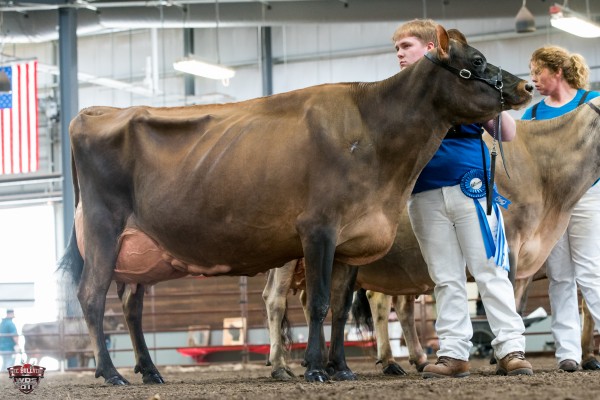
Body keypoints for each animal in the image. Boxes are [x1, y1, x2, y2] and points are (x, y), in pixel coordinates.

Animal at [57, 25, 531, 385]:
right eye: (478, 61)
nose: (526, 85)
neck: (375, 133)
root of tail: (93, 112)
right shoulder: (318, 229)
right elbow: (319, 303)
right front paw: (316, 370)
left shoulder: (351, 240)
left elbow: (339, 308)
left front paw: (340, 368)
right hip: (103, 229)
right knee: (92, 297)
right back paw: (111, 373)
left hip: (138, 248)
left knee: (131, 306)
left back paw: (150, 371)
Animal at [263, 98, 600, 379]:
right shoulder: (511, 242)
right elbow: (516, 303)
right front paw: (506, 359)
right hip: (290, 253)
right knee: (276, 299)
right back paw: (281, 366)